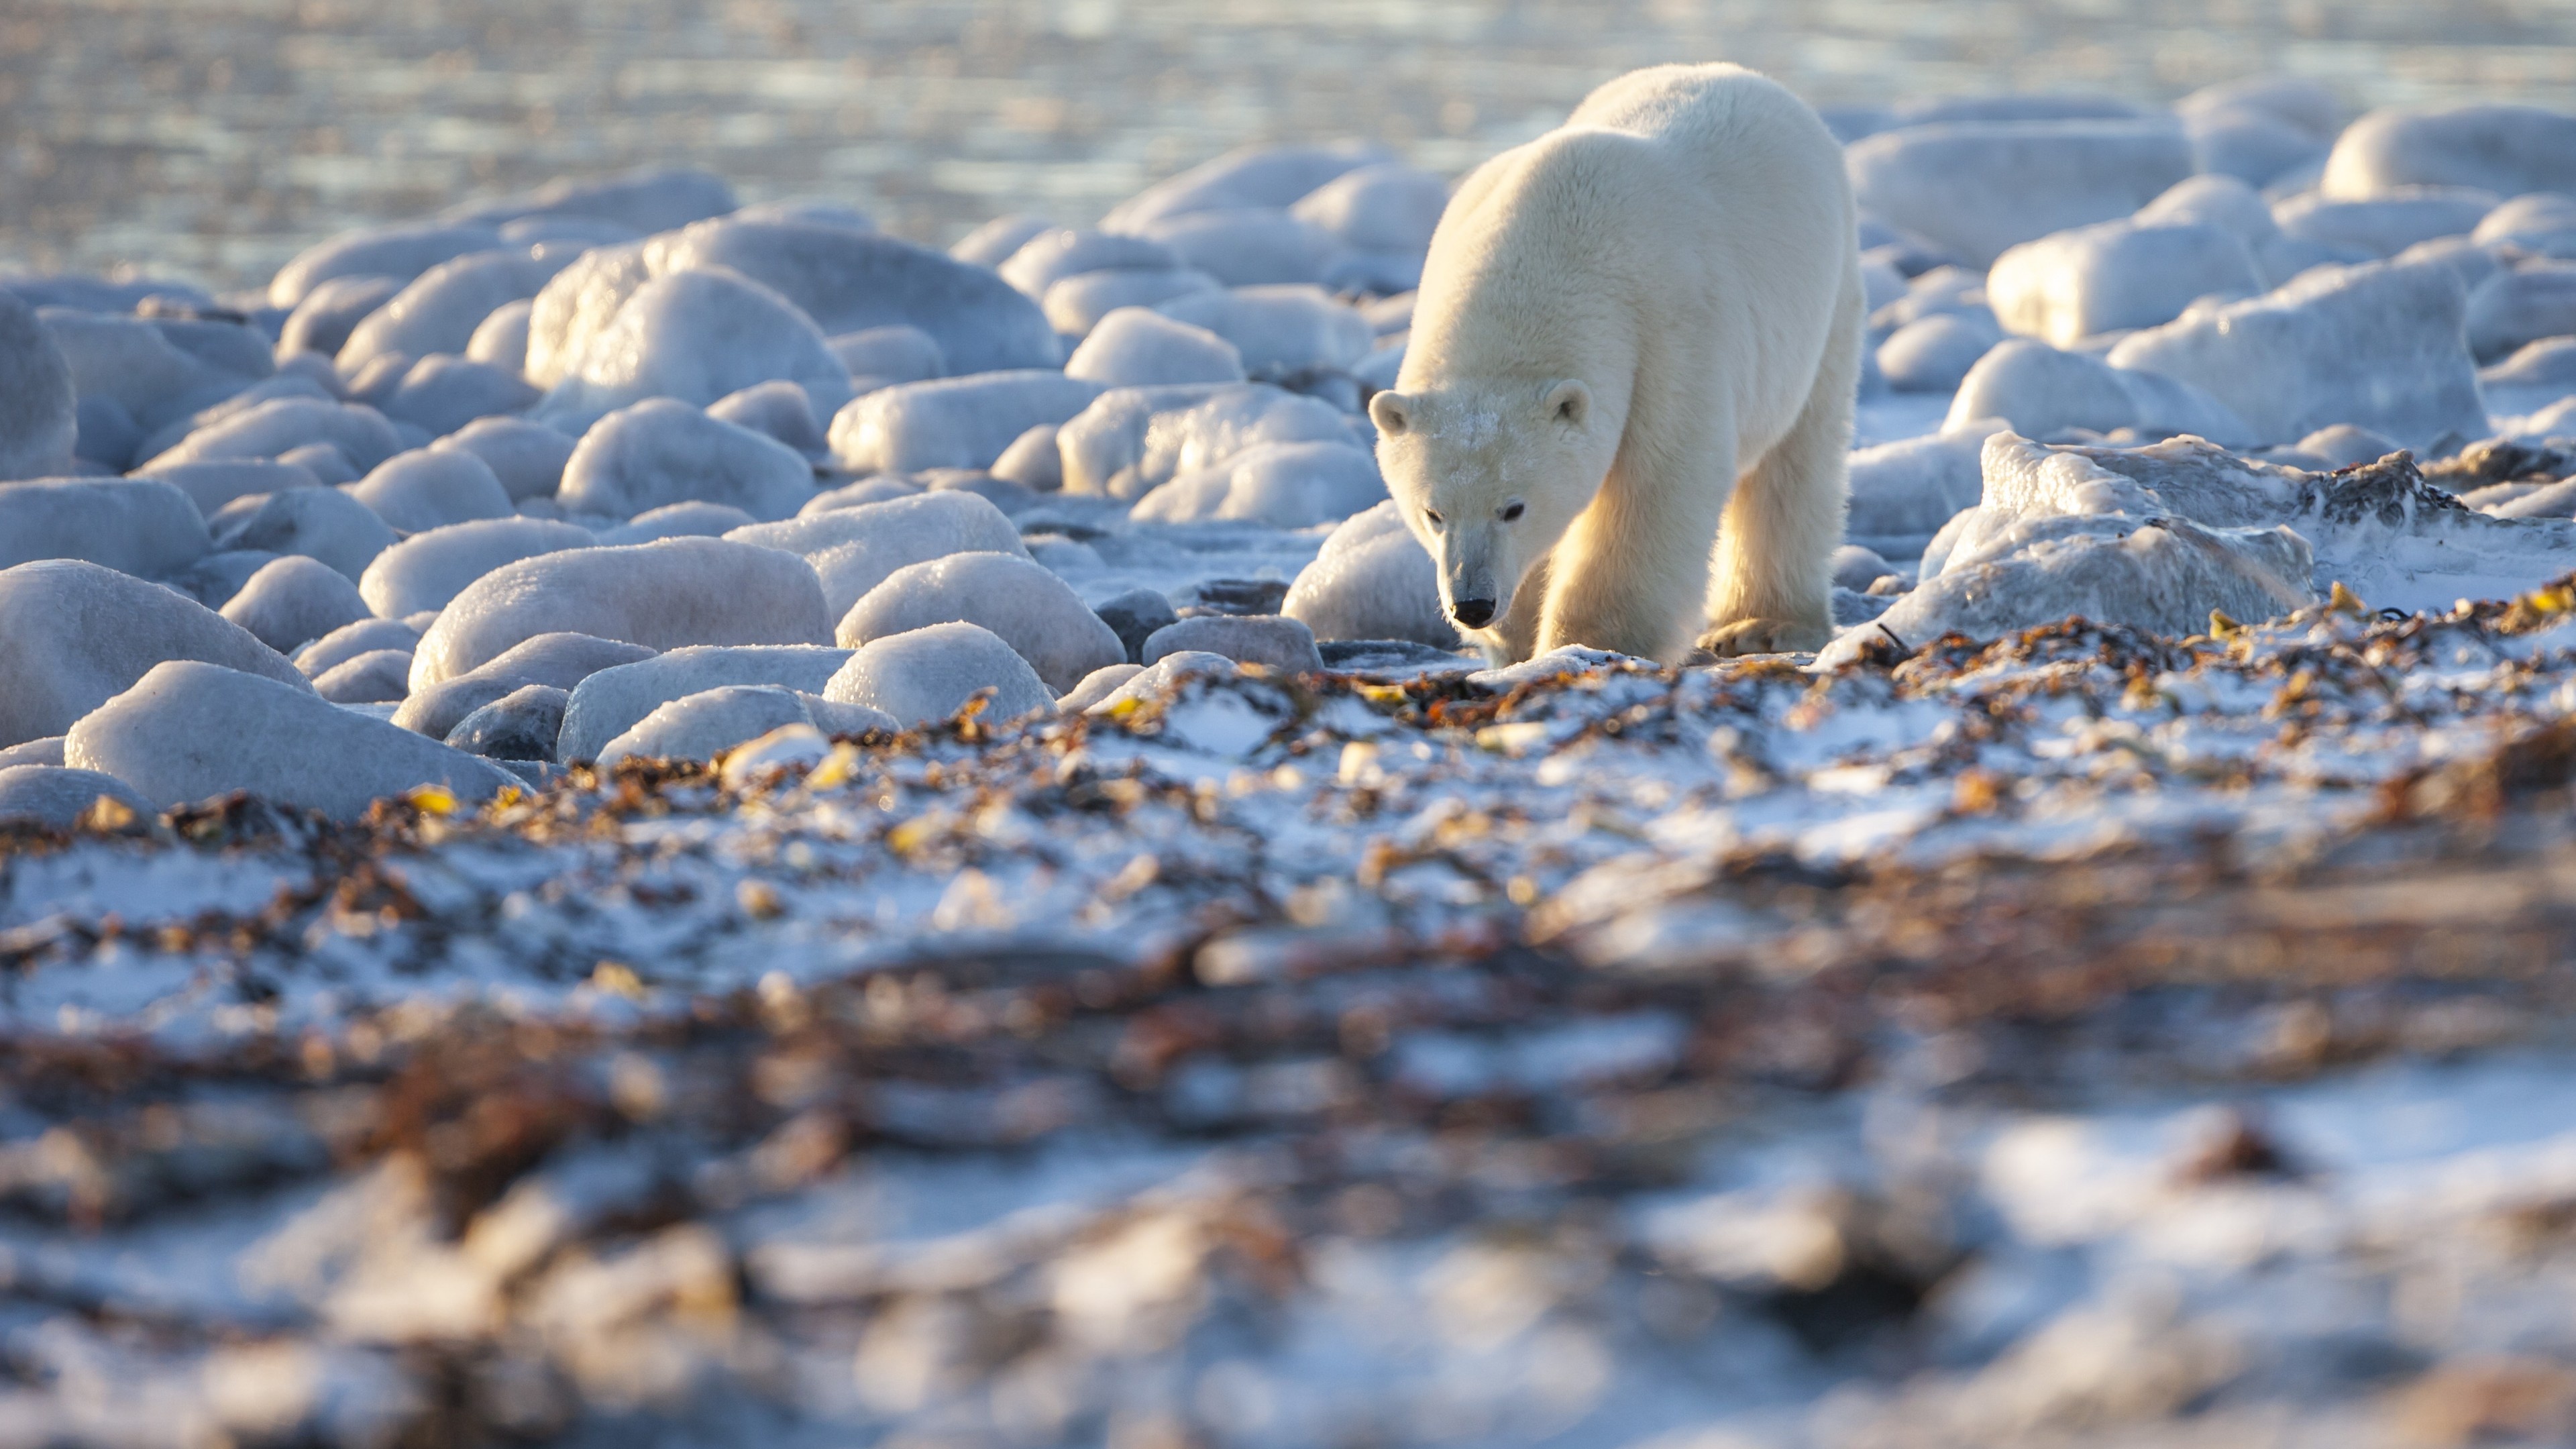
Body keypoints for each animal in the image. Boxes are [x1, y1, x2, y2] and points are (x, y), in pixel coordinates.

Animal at [1381, 63, 1865, 659]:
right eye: (1433, 512)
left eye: (1513, 507)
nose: (1472, 604)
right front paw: (1514, 637)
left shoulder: (1670, 333)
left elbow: (1655, 490)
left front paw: (1589, 641)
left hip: (1824, 306)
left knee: (1794, 466)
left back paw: (1763, 623)